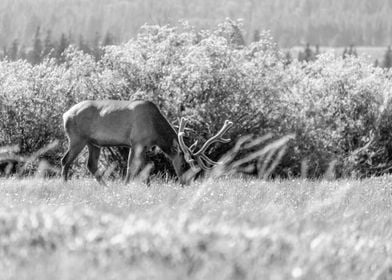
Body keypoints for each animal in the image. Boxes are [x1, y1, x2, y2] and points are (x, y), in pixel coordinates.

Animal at [61, 100, 233, 184]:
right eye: (185, 164)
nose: (187, 182)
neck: (155, 130)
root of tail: (65, 114)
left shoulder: (145, 146)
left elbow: (145, 169)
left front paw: (147, 186)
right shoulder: (136, 142)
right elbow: (131, 168)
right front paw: (126, 185)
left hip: (93, 143)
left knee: (91, 164)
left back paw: (106, 186)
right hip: (77, 138)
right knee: (65, 160)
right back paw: (65, 184)